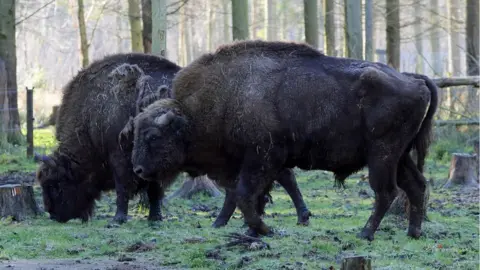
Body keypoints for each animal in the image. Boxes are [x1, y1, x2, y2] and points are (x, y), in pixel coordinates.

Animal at [36, 52, 182, 224]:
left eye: (54, 185)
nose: (51, 213)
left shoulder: (119, 158)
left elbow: (123, 189)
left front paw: (117, 219)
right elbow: (154, 190)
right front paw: (155, 218)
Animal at [127, 40, 438, 240]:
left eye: (153, 136)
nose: (138, 169)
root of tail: (414, 80)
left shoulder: (262, 158)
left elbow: (245, 194)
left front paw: (264, 229)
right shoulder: (254, 164)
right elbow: (251, 196)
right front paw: (251, 230)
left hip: (382, 155)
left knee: (386, 191)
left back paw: (366, 233)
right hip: (400, 156)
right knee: (416, 185)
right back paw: (413, 232)